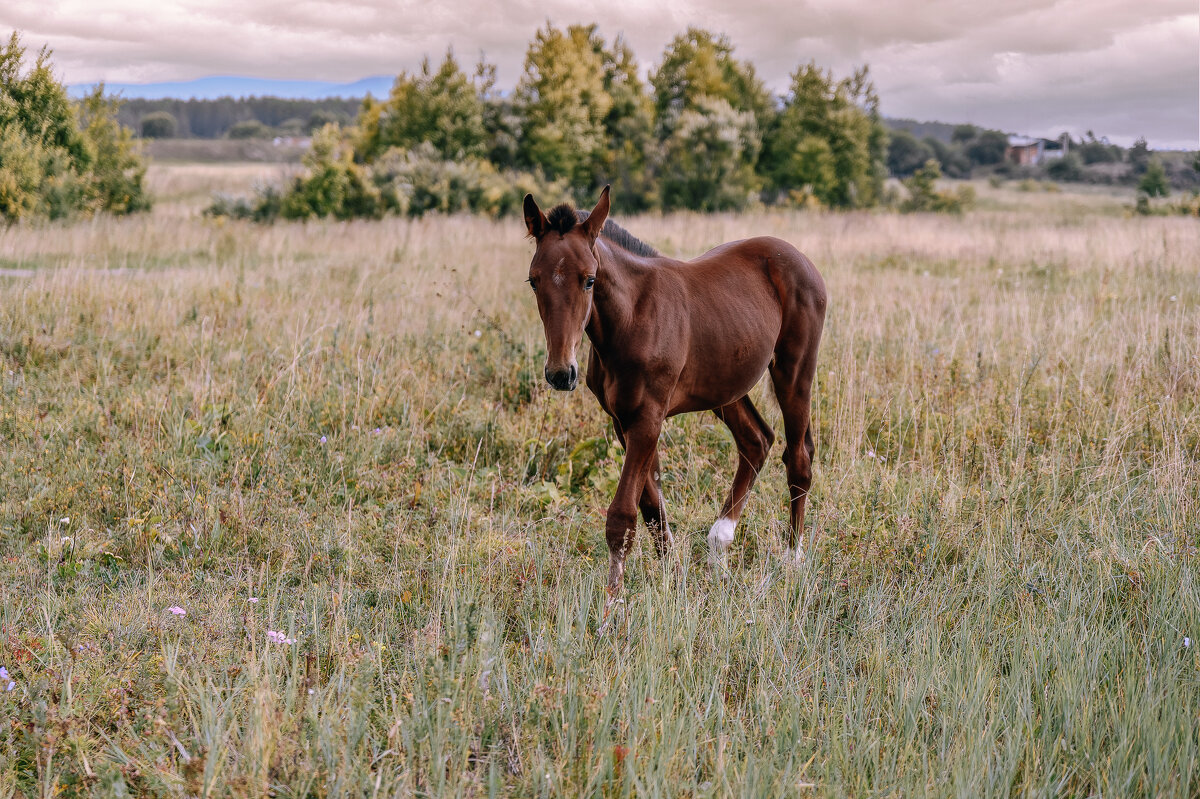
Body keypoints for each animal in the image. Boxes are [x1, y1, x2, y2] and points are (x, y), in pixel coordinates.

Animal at [525, 184, 825, 590]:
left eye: (589, 279)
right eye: (534, 280)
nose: (560, 373)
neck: (631, 317)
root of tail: (800, 257)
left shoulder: (649, 418)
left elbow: (621, 517)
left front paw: (613, 603)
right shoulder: (622, 421)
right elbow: (651, 508)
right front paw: (674, 578)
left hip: (794, 374)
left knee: (798, 459)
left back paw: (792, 560)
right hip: (724, 386)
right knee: (756, 440)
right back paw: (719, 549)